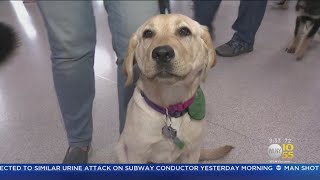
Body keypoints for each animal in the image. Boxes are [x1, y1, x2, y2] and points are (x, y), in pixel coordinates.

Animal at [116, 14, 231, 163]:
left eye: (184, 31)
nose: (162, 53)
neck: (170, 106)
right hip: (120, 149)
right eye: (147, 33)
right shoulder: (137, 155)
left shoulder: (192, 152)